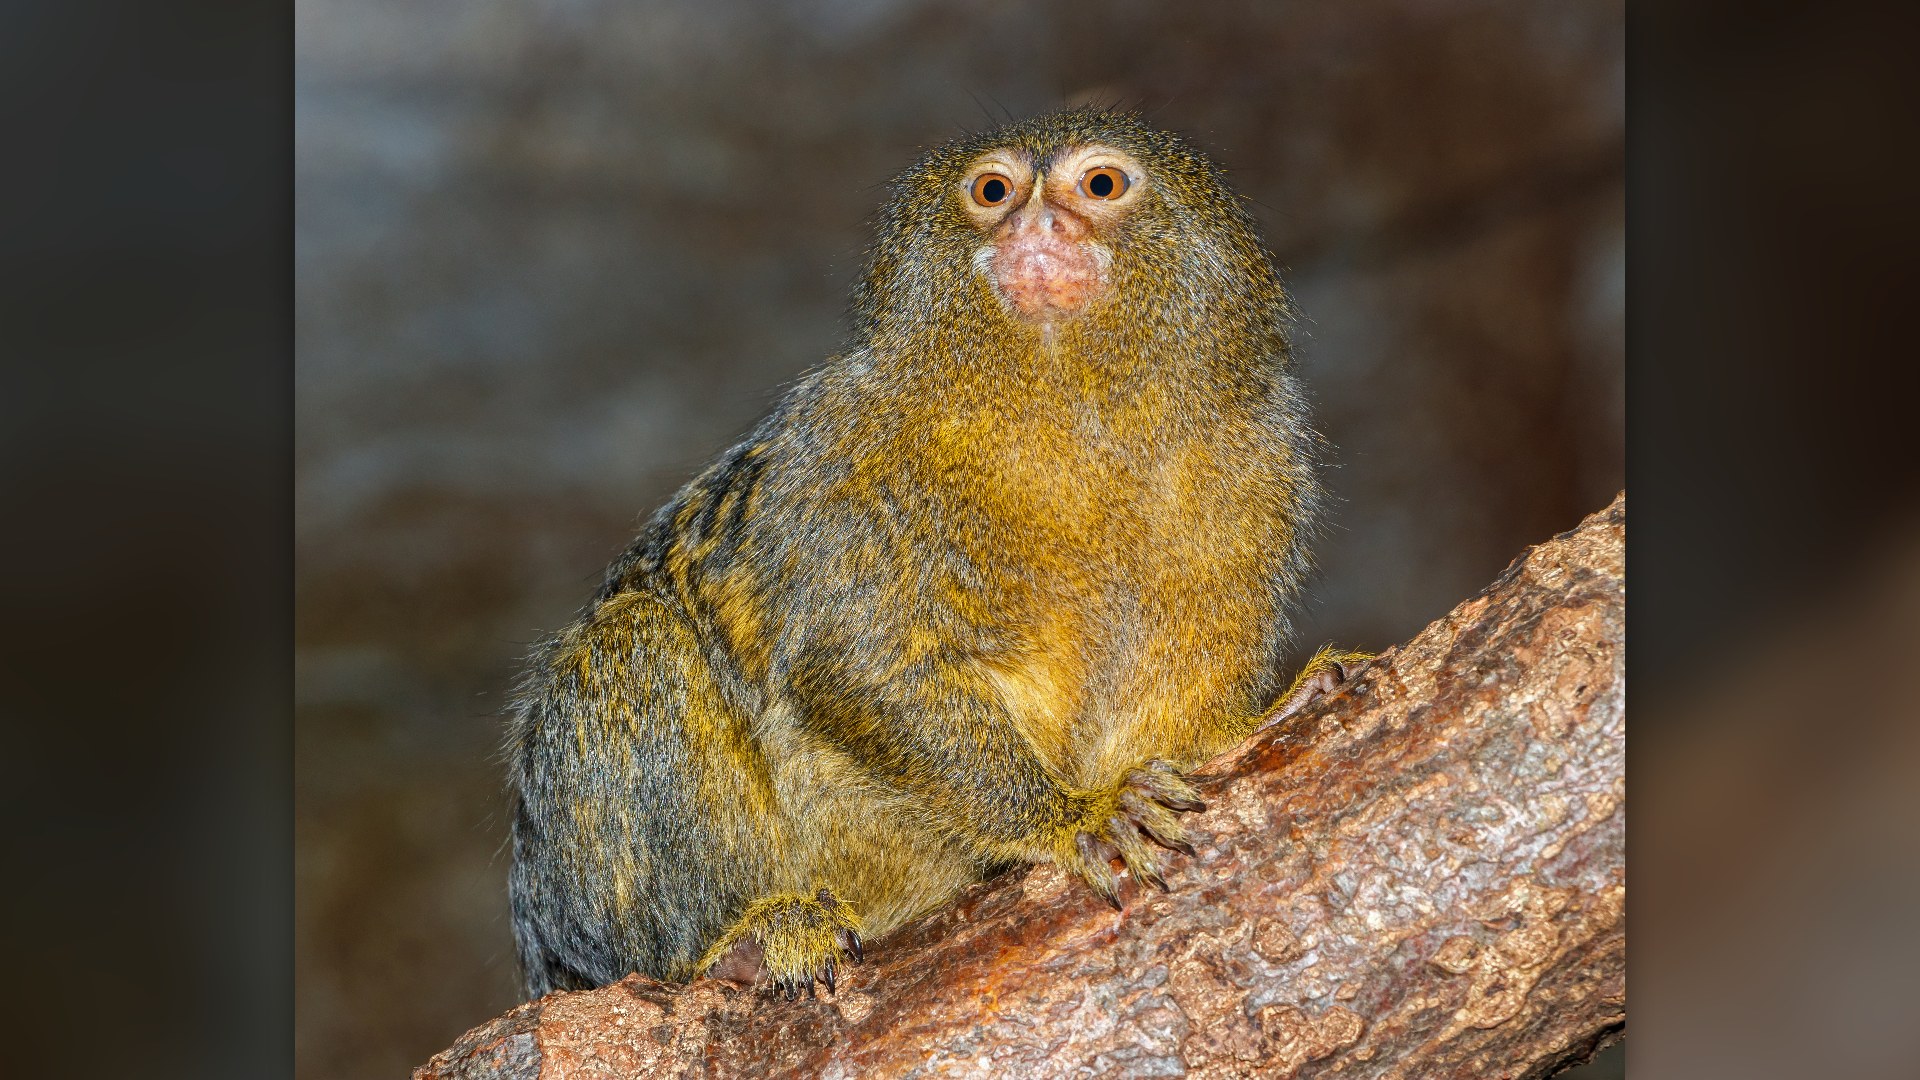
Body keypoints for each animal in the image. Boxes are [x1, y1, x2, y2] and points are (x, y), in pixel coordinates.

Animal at [504, 106, 1365, 1001]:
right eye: (992, 192)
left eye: (1100, 184)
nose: (1037, 224)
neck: (1068, 407)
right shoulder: (841, 447)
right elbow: (863, 659)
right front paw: (1068, 816)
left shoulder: (1257, 460)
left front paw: (1268, 719)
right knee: (635, 645)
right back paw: (731, 944)